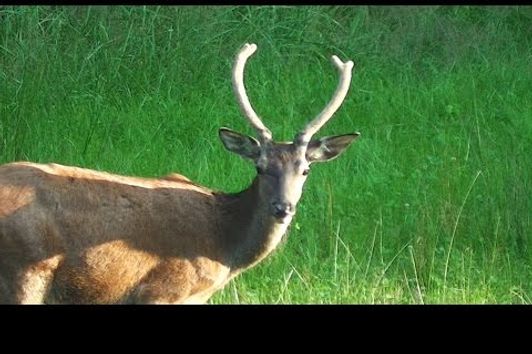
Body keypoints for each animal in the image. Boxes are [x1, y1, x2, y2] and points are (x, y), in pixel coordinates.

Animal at [0, 43, 360, 304]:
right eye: (260, 167)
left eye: (306, 169)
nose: (283, 208)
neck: (225, 248)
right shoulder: (163, 289)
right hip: (23, 271)